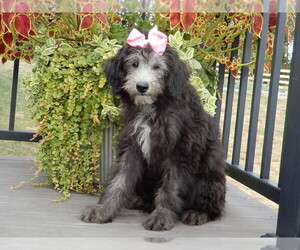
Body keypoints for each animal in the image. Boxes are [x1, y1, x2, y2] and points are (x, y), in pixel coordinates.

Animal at [81, 27, 226, 230]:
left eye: (157, 67)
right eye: (134, 64)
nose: (142, 86)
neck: (154, 106)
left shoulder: (181, 151)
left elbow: (170, 187)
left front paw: (161, 217)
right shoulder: (132, 145)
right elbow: (119, 181)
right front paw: (103, 210)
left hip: (210, 178)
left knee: (214, 207)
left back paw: (197, 213)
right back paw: (136, 200)